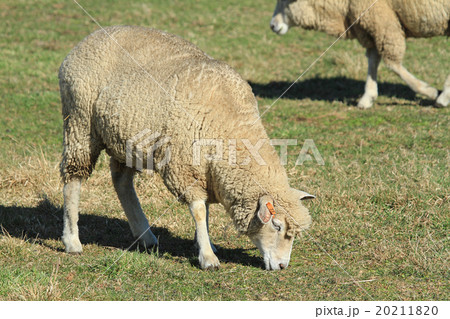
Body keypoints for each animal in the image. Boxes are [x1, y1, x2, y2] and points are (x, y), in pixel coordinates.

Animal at [59, 25, 312, 272]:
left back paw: (145, 236)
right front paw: (208, 257)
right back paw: (72, 241)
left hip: (124, 136)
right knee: (73, 180)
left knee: (121, 181)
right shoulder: (183, 166)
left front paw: (206, 242)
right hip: (80, 122)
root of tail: (89, 38)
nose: (282, 266)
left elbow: (206, 211)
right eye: (276, 226)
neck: (229, 125)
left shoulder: (205, 171)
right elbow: (199, 211)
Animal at [270, 0, 450, 109]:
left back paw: (443, 97)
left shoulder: (382, 19)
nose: (272, 25)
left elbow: (392, 63)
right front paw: (368, 97)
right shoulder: (371, 25)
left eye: (286, 0)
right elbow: (373, 60)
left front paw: (429, 91)